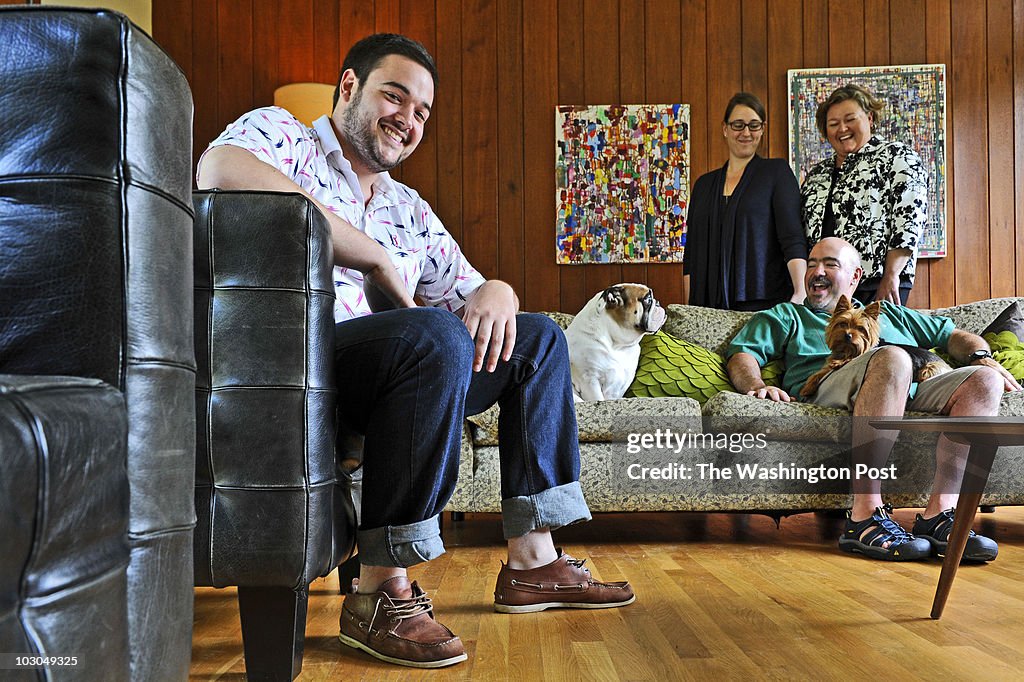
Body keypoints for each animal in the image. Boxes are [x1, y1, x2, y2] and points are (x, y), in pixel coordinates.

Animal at [798, 292, 950, 399]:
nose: (848, 335)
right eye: (843, 324)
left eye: (860, 329)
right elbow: (820, 372)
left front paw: (838, 362)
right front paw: (808, 387)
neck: (847, 349)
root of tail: (947, 365)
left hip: (929, 369)